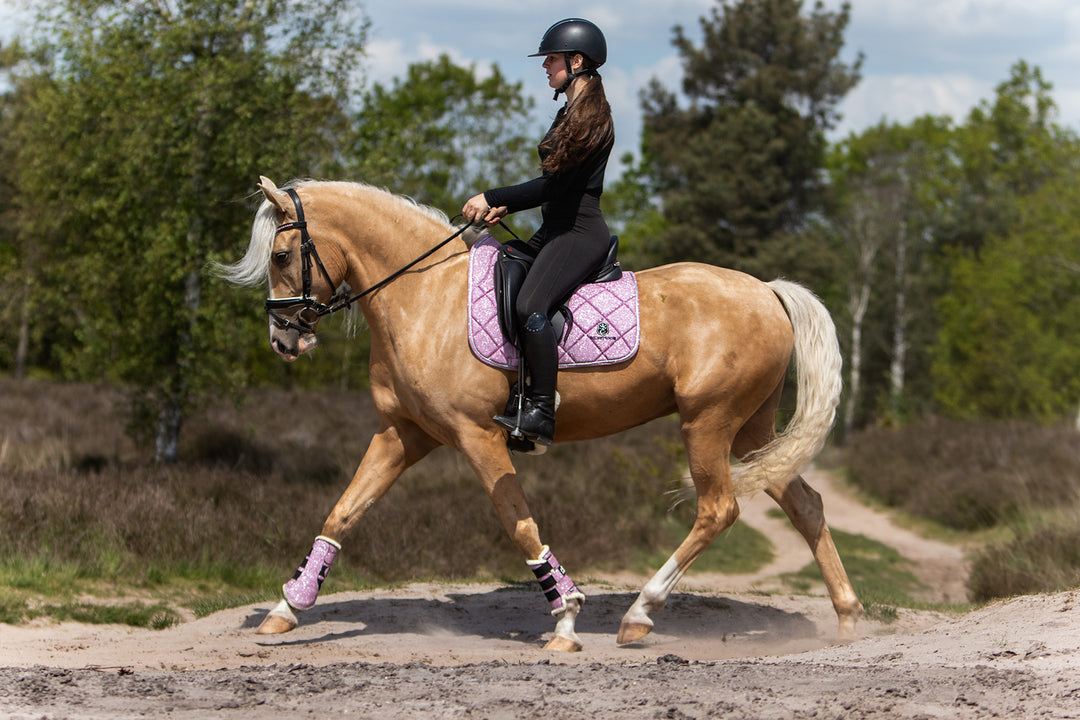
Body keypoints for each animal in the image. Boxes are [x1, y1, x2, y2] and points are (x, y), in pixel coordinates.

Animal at [219, 175, 859, 651]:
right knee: (805, 504)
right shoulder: (403, 434)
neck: (423, 296)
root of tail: (768, 291)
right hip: (751, 429)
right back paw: (848, 617)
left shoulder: (477, 436)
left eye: (281, 254)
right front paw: (288, 605)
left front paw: (566, 619)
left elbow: (518, 521)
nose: (283, 340)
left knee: (719, 510)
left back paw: (640, 613)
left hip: (708, 424)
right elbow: (344, 511)